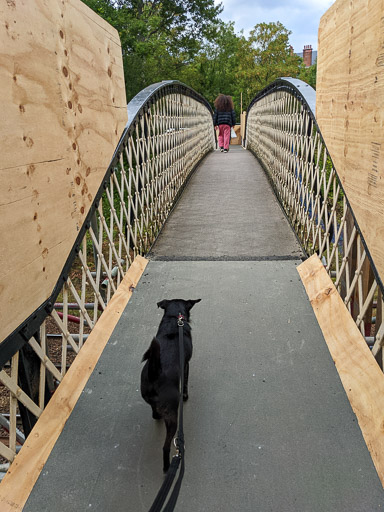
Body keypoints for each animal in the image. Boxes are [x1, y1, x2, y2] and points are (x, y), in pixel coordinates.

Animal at [140, 300, 201, 472]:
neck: (175, 320)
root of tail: (155, 373)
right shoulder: (186, 365)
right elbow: (185, 382)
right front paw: (186, 396)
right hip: (173, 418)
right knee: (166, 447)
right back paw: (167, 467)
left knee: (154, 413)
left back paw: (157, 415)